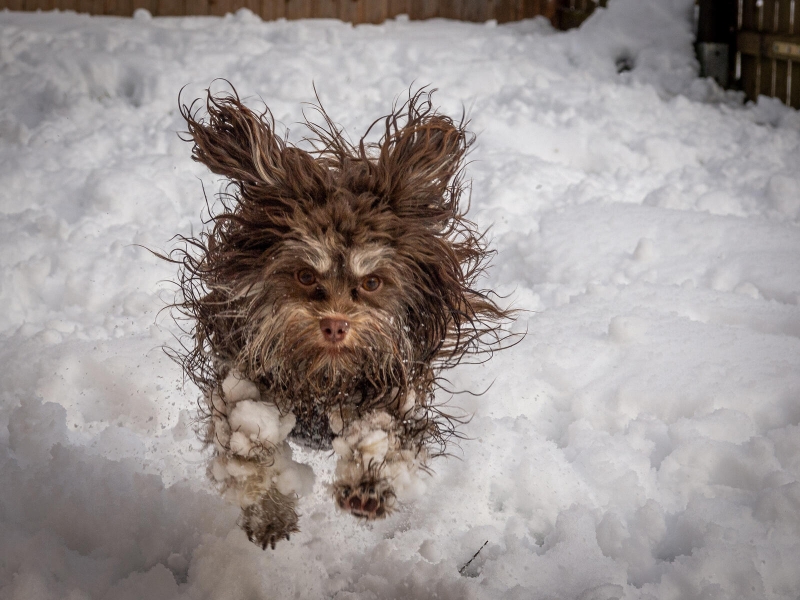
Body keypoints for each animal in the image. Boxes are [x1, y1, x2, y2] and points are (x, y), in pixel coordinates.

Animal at [170, 84, 512, 548]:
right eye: (304, 275)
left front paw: (367, 487)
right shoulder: (241, 380)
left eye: (371, 282)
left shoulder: (392, 390)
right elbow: (249, 447)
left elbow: (382, 436)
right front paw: (269, 511)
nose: (334, 324)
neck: (323, 379)